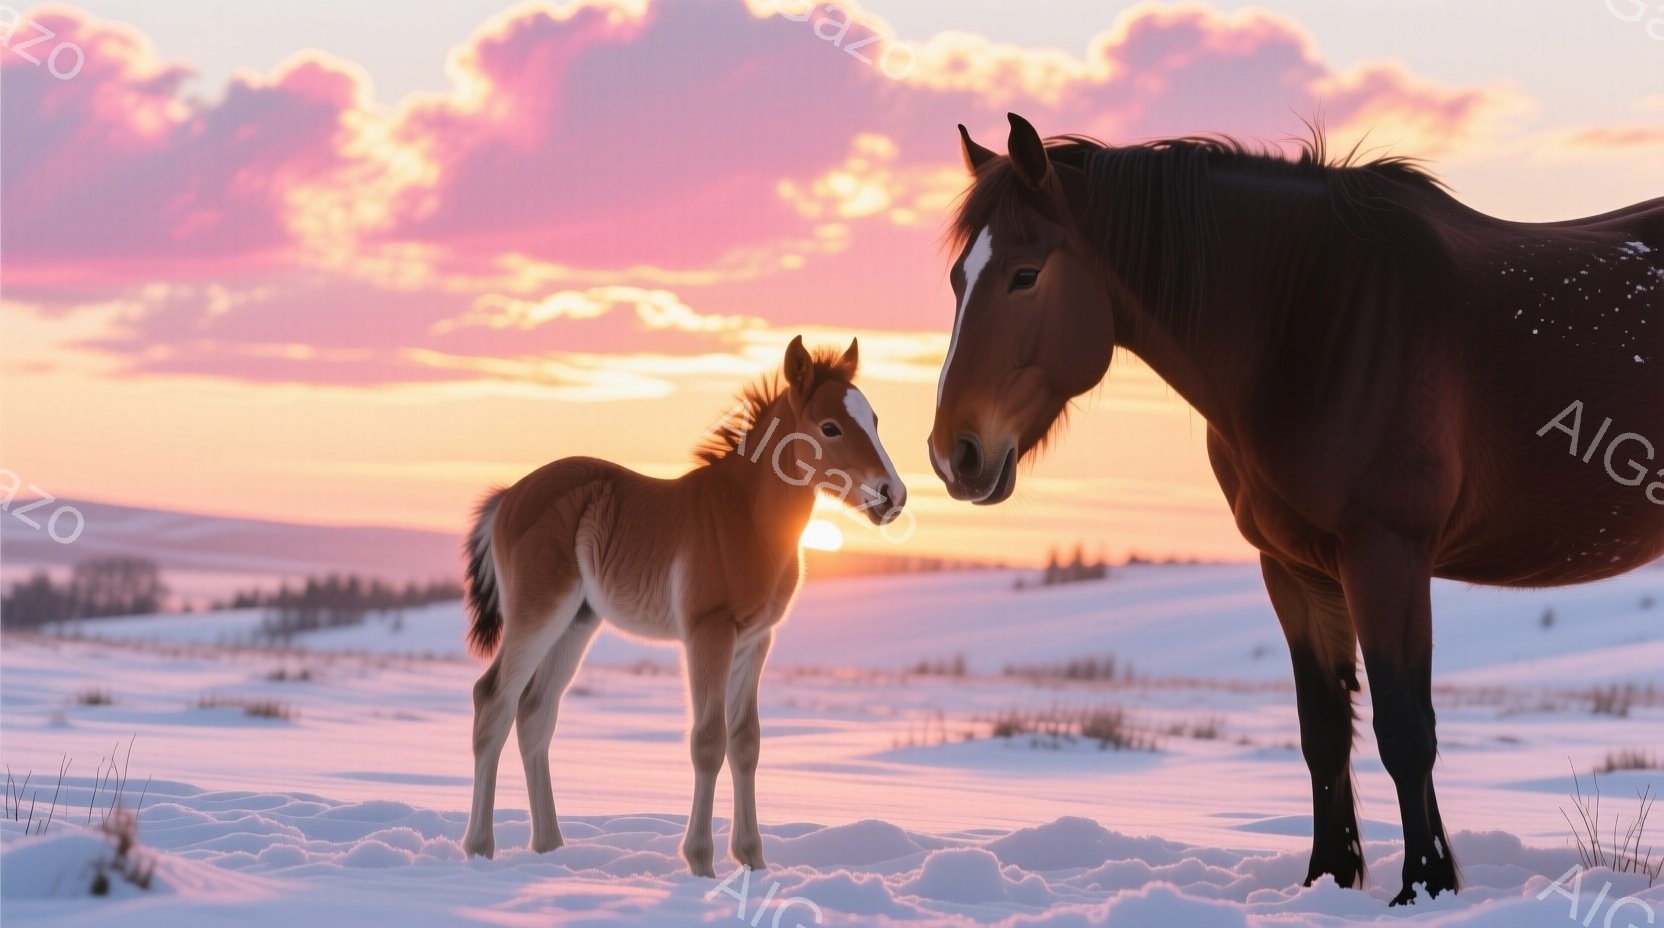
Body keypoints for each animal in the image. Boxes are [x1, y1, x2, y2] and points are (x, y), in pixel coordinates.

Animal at [461, 336, 905, 875]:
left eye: (875, 420)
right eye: (830, 427)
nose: (892, 495)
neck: (748, 517)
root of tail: (507, 497)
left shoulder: (755, 640)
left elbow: (747, 742)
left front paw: (753, 861)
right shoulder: (708, 633)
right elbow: (708, 741)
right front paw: (701, 864)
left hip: (576, 623)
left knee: (536, 712)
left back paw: (550, 847)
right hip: (538, 613)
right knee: (493, 700)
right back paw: (479, 847)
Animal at [930, 113, 1664, 905]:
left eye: (1025, 274)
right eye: (956, 278)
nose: (953, 454)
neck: (1319, 323)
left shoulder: (1386, 553)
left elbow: (1406, 731)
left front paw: (1424, 889)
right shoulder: (1293, 567)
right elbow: (1324, 732)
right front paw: (1329, 881)